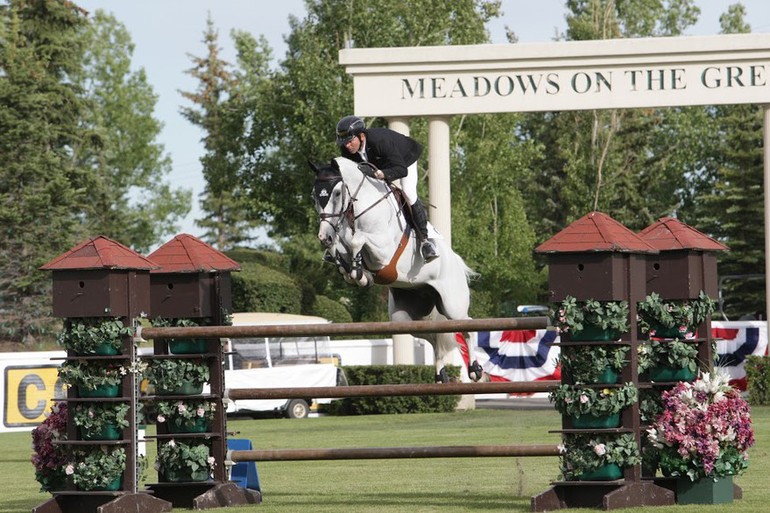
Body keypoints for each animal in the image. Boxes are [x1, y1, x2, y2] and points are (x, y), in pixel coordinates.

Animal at [308, 158, 480, 382]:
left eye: (337, 193)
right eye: (314, 195)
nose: (323, 236)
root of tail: (457, 261)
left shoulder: (383, 251)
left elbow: (357, 240)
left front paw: (358, 273)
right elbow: (341, 248)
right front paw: (355, 273)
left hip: (453, 306)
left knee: (468, 327)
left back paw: (475, 370)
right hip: (405, 317)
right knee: (433, 336)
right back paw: (441, 374)